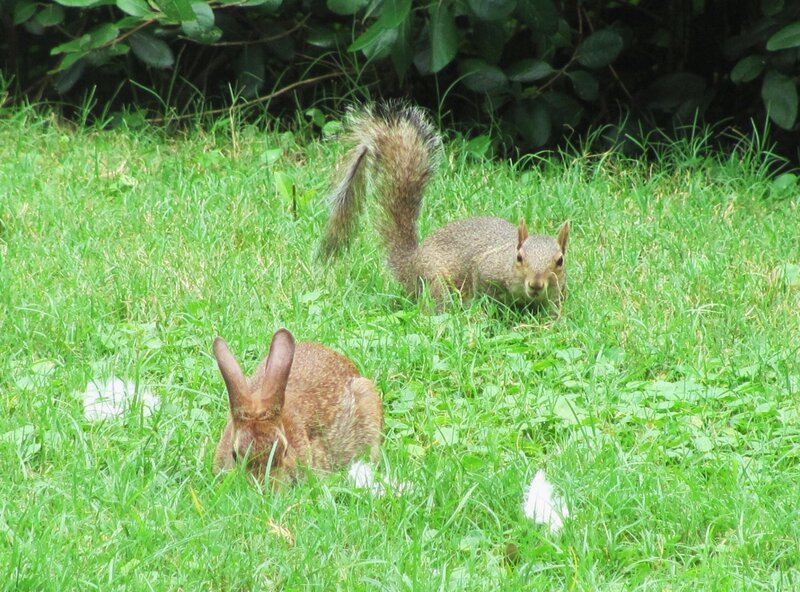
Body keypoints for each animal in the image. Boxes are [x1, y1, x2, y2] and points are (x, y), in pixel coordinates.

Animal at [318, 102, 570, 310]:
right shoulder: (486, 271)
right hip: (435, 280)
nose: (536, 284)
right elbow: (485, 294)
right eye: (519, 258)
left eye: (560, 261)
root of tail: (413, 263)